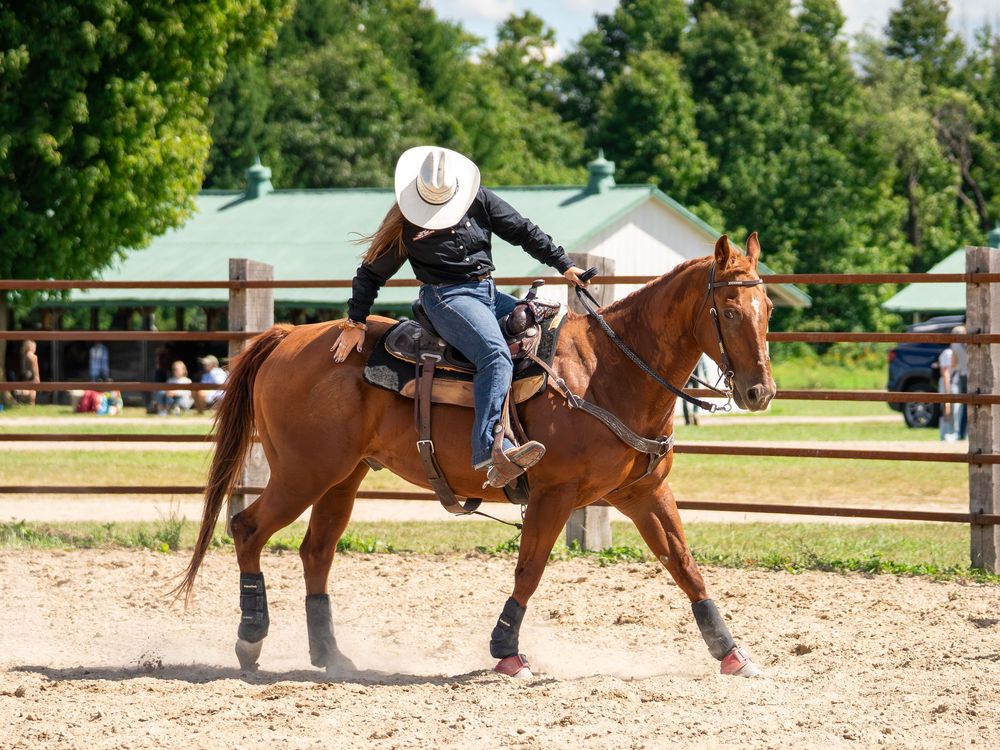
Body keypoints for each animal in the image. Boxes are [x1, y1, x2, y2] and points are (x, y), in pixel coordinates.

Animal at [178, 233, 776, 679]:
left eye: (766, 307)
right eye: (728, 309)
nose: (759, 391)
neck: (608, 372)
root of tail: (286, 336)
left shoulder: (644, 492)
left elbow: (686, 566)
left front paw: (731, 653)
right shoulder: (554, 494)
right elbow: (530, 569)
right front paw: (507, 652)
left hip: (342, 478)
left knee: (315, 552)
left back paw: (331, 656)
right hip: (304, 473)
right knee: (248, 528)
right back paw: (250, 640)